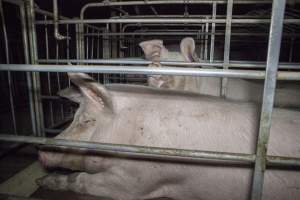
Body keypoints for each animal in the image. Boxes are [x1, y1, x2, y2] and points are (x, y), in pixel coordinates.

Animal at [37, 72, 300, 200]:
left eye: (87, 120)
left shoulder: (136, 181)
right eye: (73, 117)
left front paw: (45, 182)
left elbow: (82, 180)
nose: (41, 151)